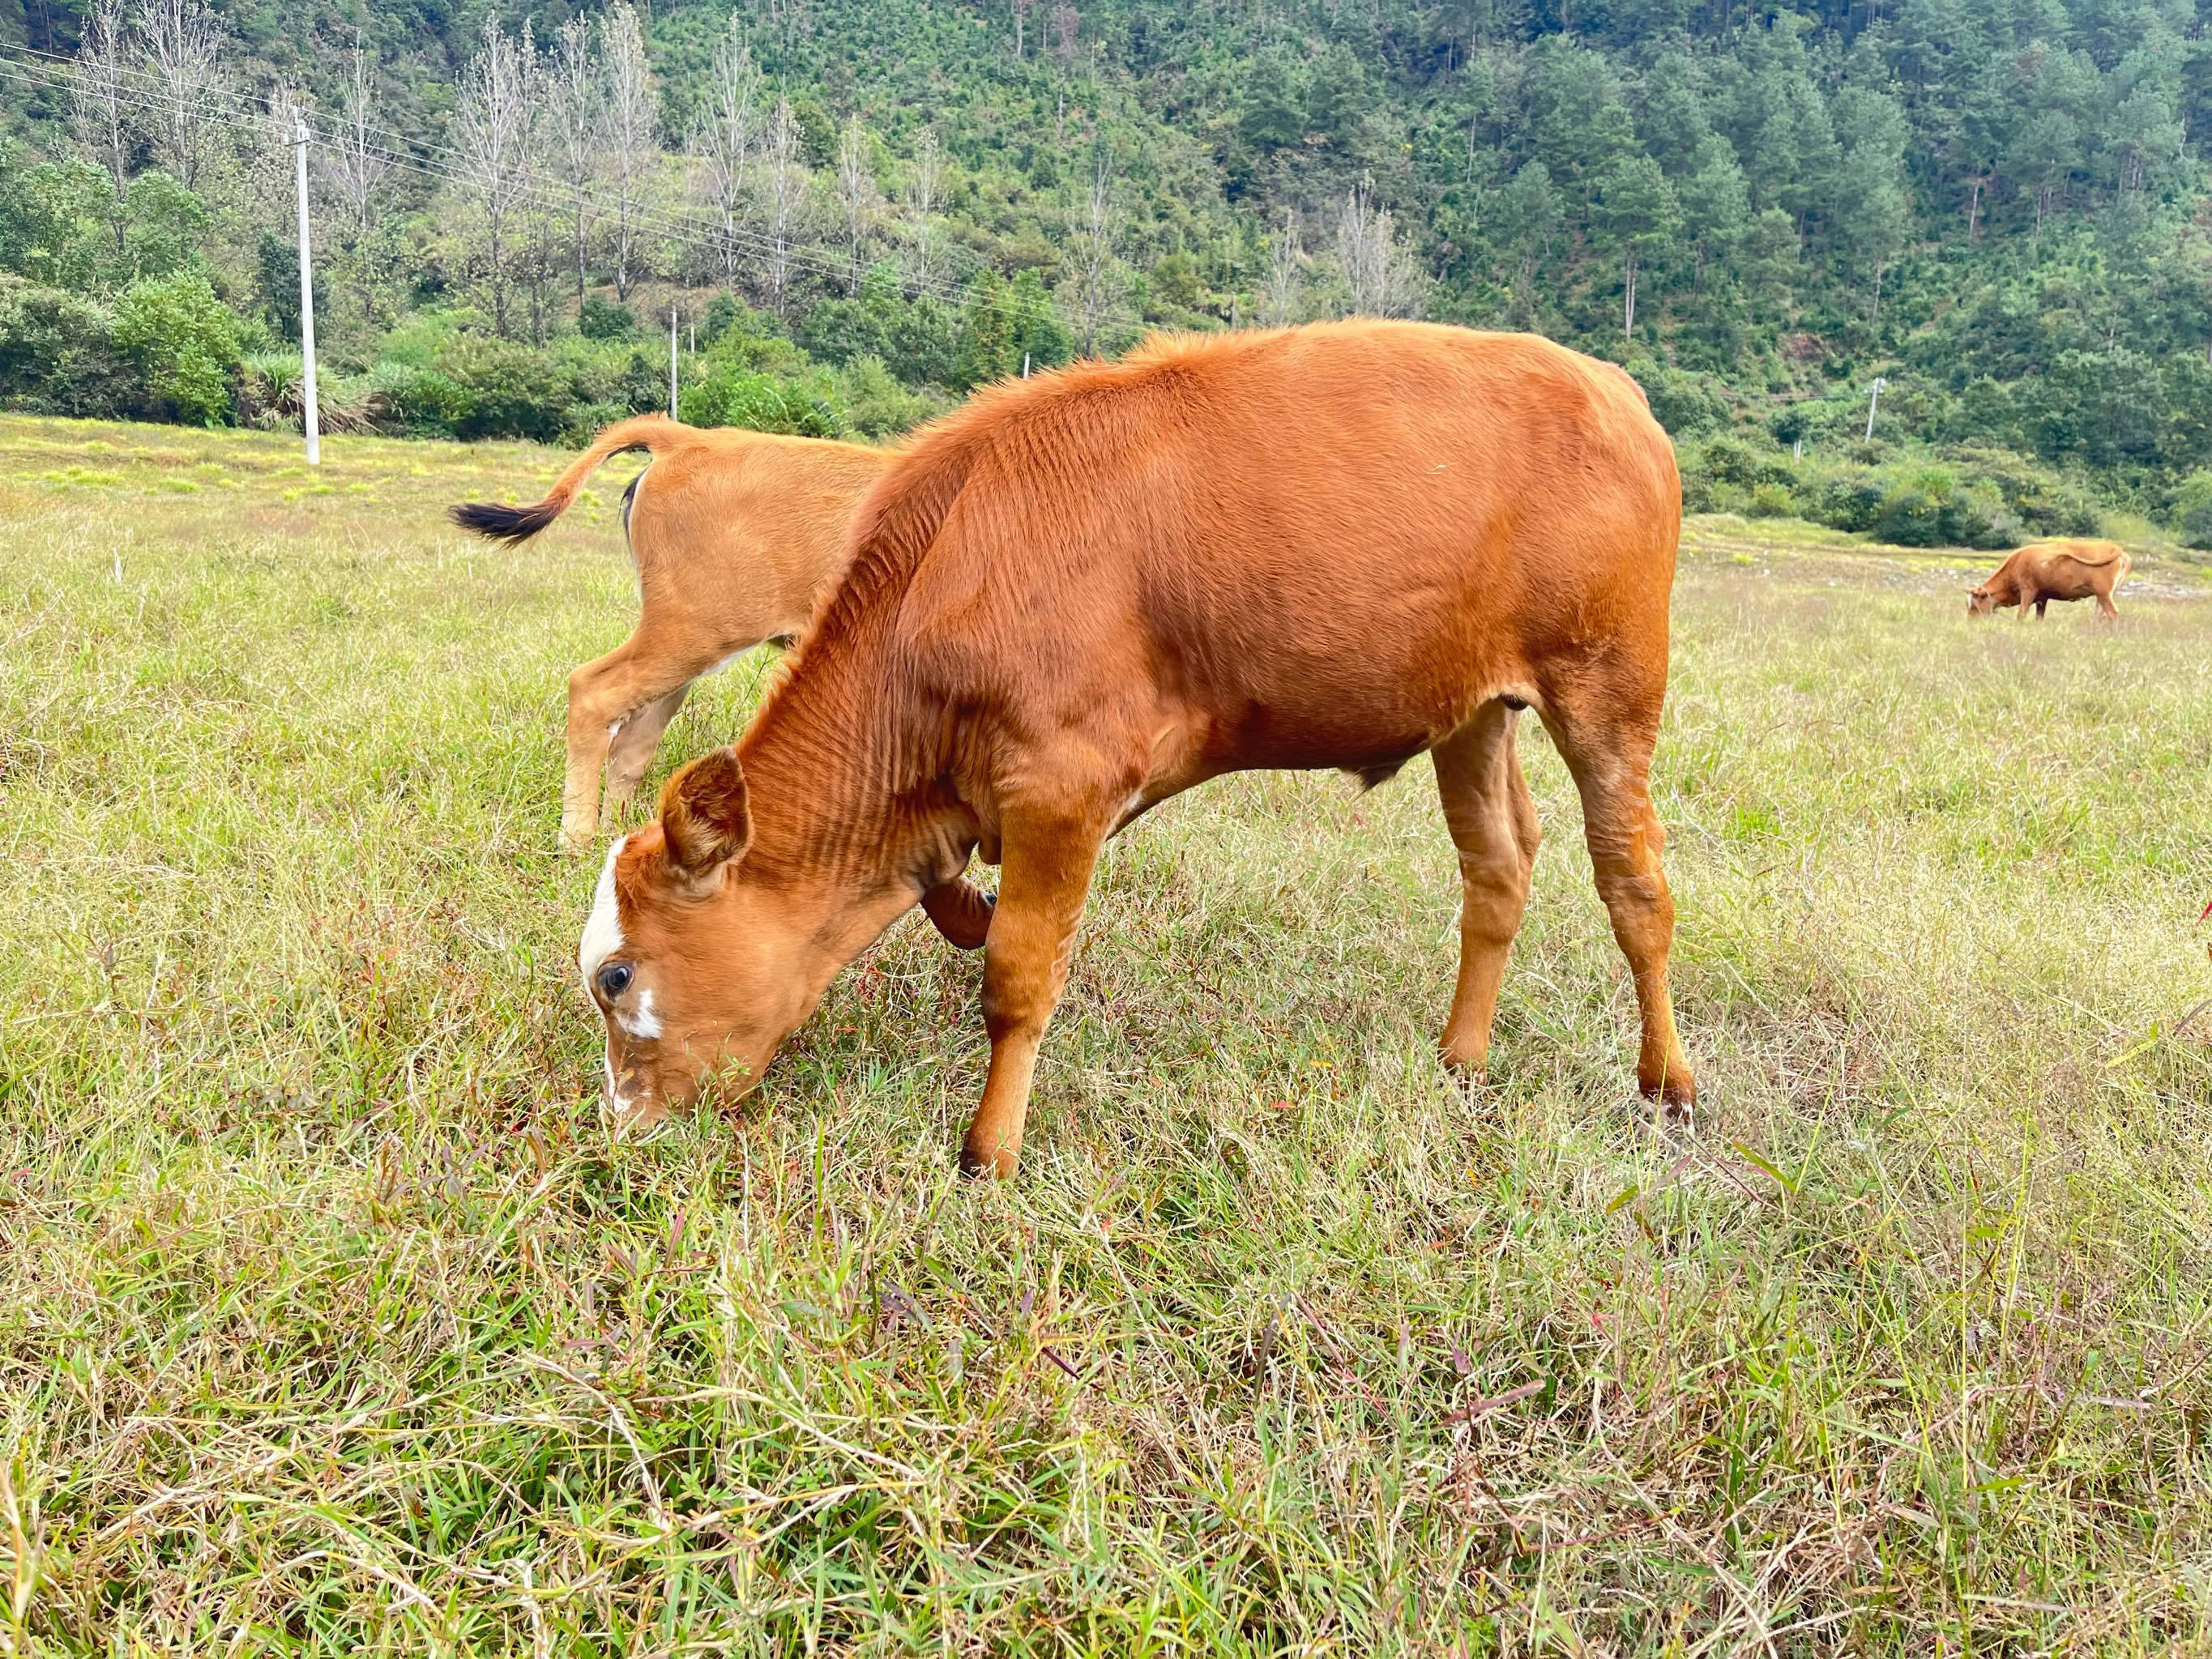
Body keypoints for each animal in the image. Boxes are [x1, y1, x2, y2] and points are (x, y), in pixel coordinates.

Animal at [570, 325, 1689, 1176]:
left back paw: (1666, 1081)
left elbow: (1017, 976)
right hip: (1472, 706)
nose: (620, 1127)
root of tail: (1609, 383)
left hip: (1611, 682)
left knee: (1634, 884)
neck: (944, 579)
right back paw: (1461, 1056)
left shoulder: (1061, 785)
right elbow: (963, 912)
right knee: (1498, 867)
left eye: (616, 976)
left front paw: (990, 1152)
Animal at [1964, 542, 2132, 619]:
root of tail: (2113, 547)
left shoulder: (2028, 589)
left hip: (2104, 593)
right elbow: (2039, 618)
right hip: (2102, 595)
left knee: (2113, 613)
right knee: (2099, 615)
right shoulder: (2042, 598)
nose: (1971, 623)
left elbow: (2021, 614)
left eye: (1974, 606)